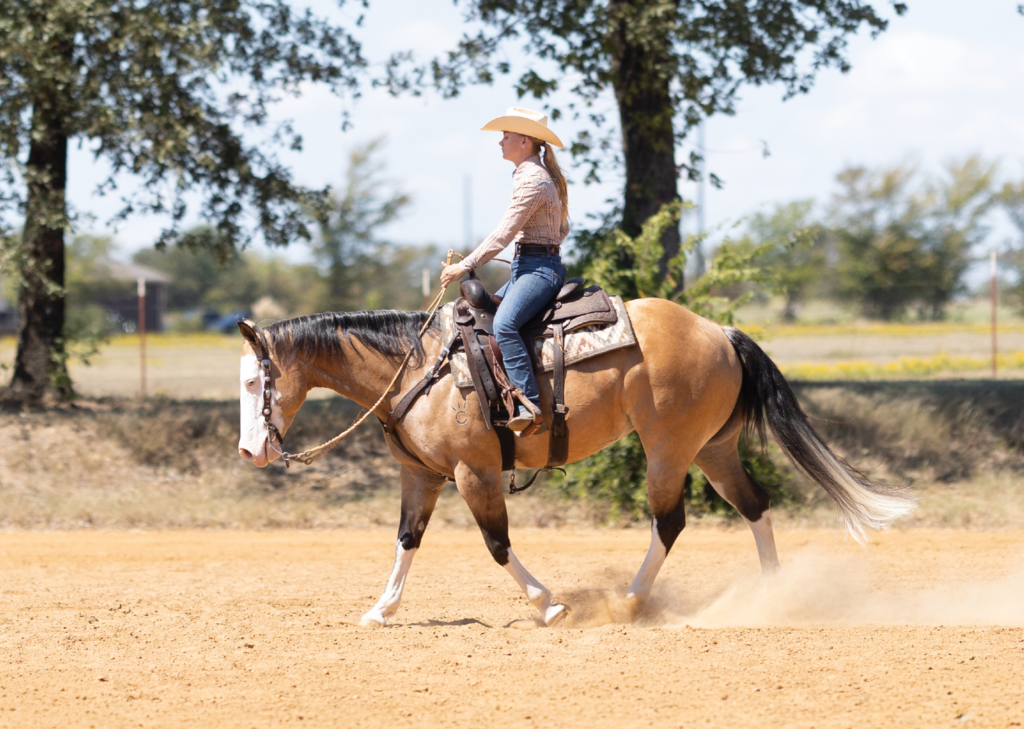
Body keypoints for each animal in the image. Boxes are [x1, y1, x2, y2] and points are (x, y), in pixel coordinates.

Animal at [237, 298, 914, 627]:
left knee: (669, 522)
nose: (250, 452)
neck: (421, 369)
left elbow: (497, 545)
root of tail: (716, 331)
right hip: (713, 448)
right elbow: (407, 541)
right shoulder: (421, 476)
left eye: (252, 382)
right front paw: (381, 610)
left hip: (668, 450)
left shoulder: (474, 474)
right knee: (754, 507)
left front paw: (550, 605)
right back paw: (773, 596)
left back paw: (632, 603)